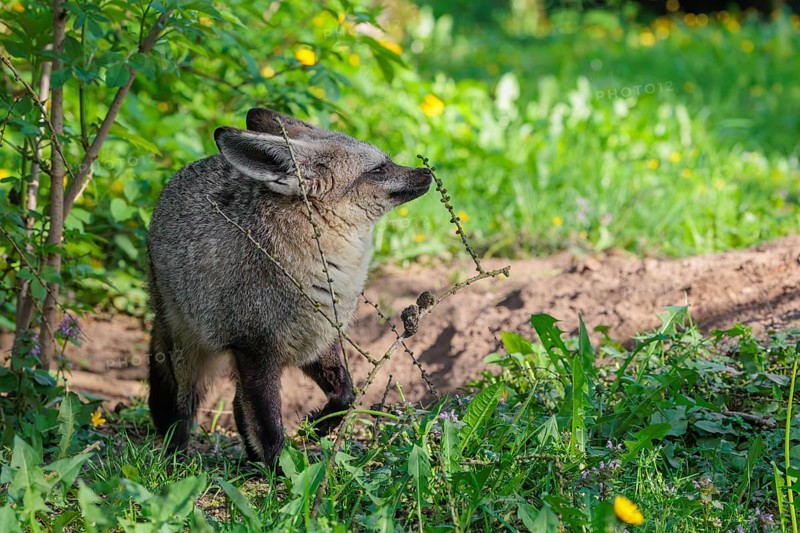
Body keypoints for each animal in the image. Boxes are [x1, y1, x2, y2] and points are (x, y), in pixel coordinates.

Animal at [146, 108, 432, 466]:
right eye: (379, 169)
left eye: (388, 162)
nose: (428, 171)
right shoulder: (256, 351)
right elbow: (270, 431)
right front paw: (281, 473)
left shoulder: (318, 338)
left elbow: (346, 396)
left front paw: (317, 427)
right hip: (186, 352)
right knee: (183, 409)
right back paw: (176, 456)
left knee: (238, 407)